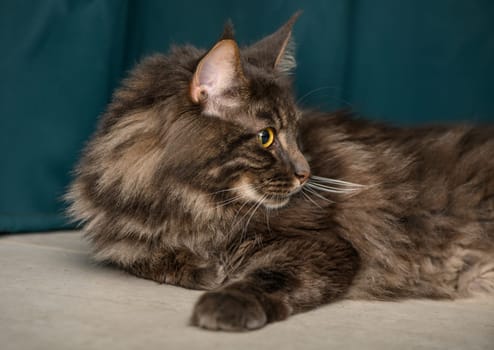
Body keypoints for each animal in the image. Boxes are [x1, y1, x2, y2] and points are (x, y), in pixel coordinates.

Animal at [66, 13, 494, 330]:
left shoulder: (323, 243)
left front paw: (226, 300)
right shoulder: (123, 240)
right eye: (267, 137)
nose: (306, 172)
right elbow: (141, 258)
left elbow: (270, 275)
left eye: (295, 134)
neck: (192, 204)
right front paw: (201, 269)